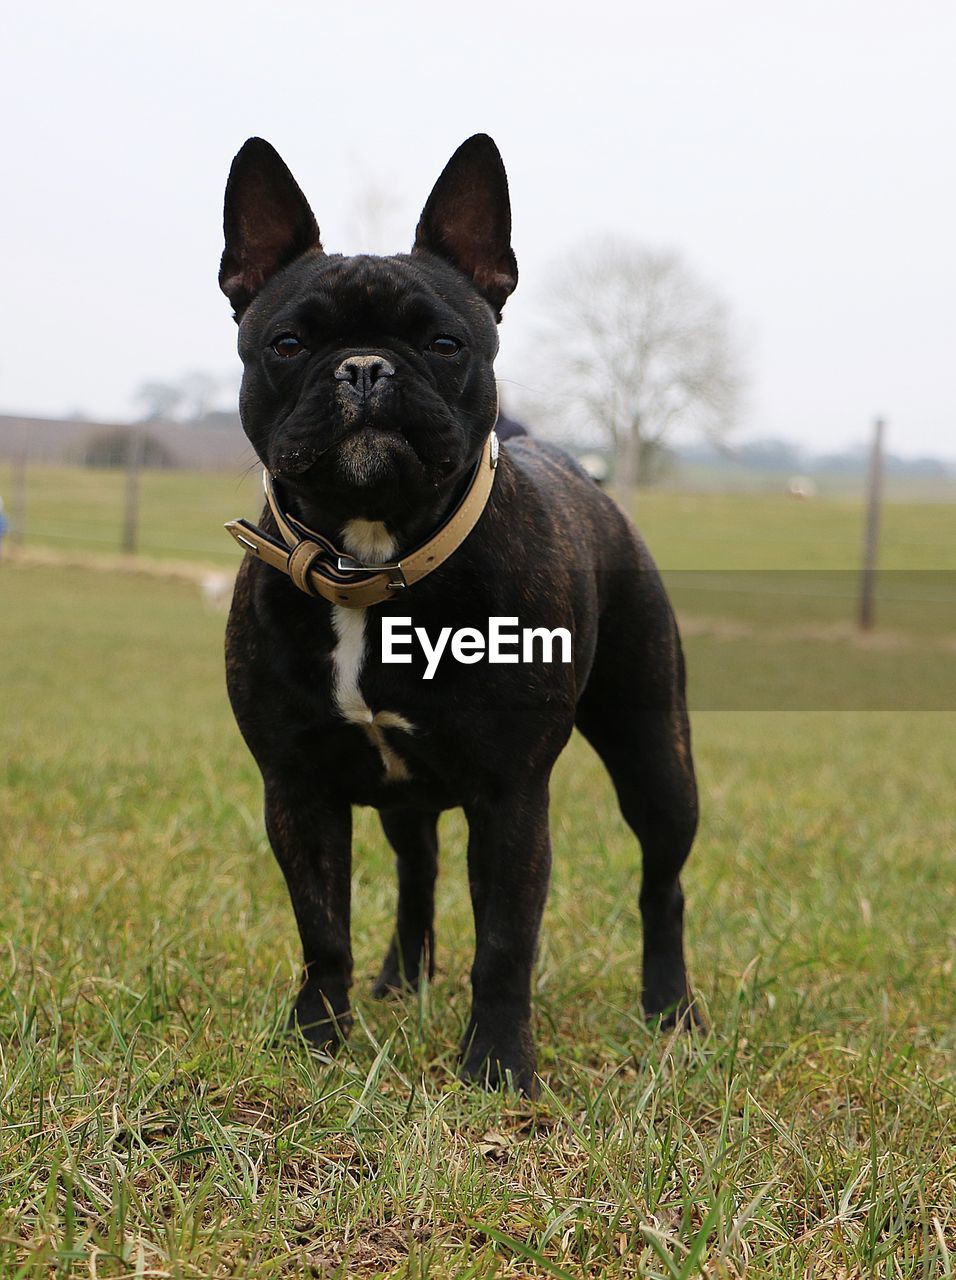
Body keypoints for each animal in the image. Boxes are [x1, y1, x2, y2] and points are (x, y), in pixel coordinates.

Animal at [218, 129, 701, 1095]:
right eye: (287, 343)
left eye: (443, 343)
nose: (365, 367)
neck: (373, 561)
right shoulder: (296, 786)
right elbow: (321, 928)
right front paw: (317, 1044)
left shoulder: (510, 795)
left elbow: (506, 944)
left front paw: (499, 1068)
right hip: (406, 795)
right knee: (418, 872)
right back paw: (401, 982)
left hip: (654, 753)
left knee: (660, 882)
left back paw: (670, 1010)